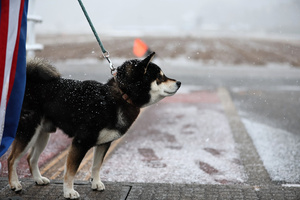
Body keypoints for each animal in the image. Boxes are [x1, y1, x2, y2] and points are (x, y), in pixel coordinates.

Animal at [7, 52, 180, 199]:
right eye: (159, 77)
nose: (179, 82)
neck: (121, 96)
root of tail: (30, 83)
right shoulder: (80, 142)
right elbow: (71, 171)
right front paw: (69, 191)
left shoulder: (104, 143)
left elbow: (96, 165)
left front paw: (96, 183)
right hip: (28, 132)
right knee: (12, 159)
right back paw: (14, 184)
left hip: (42, 135)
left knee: (31, 158)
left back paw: (38, 179)